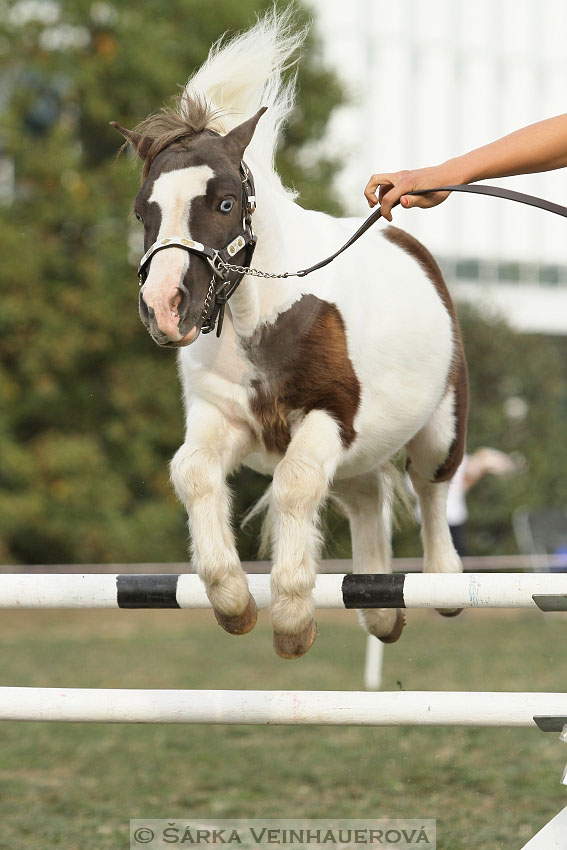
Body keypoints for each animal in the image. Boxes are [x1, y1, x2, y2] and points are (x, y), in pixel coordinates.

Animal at [113, 11, 468, 656]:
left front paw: (293, 620)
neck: (266, 321)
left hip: (440, 424)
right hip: (360, 455)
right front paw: (233, 602)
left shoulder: (331, 415)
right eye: (141, 211)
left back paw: (445, 585)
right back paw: (381, 612)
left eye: (225, 203)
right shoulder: (224, 420)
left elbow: (296, 485)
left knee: (431, 487)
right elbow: (193, 473)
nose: (164, 308)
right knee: (365, 498)